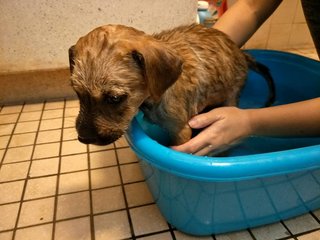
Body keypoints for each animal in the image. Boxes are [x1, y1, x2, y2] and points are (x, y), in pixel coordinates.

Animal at [69, 23, 274, 145]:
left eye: (114, 98)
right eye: (77, 93)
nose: (83, 138)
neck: (156, 96)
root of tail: (241, 53)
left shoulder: (181, 131)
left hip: (231, 95)